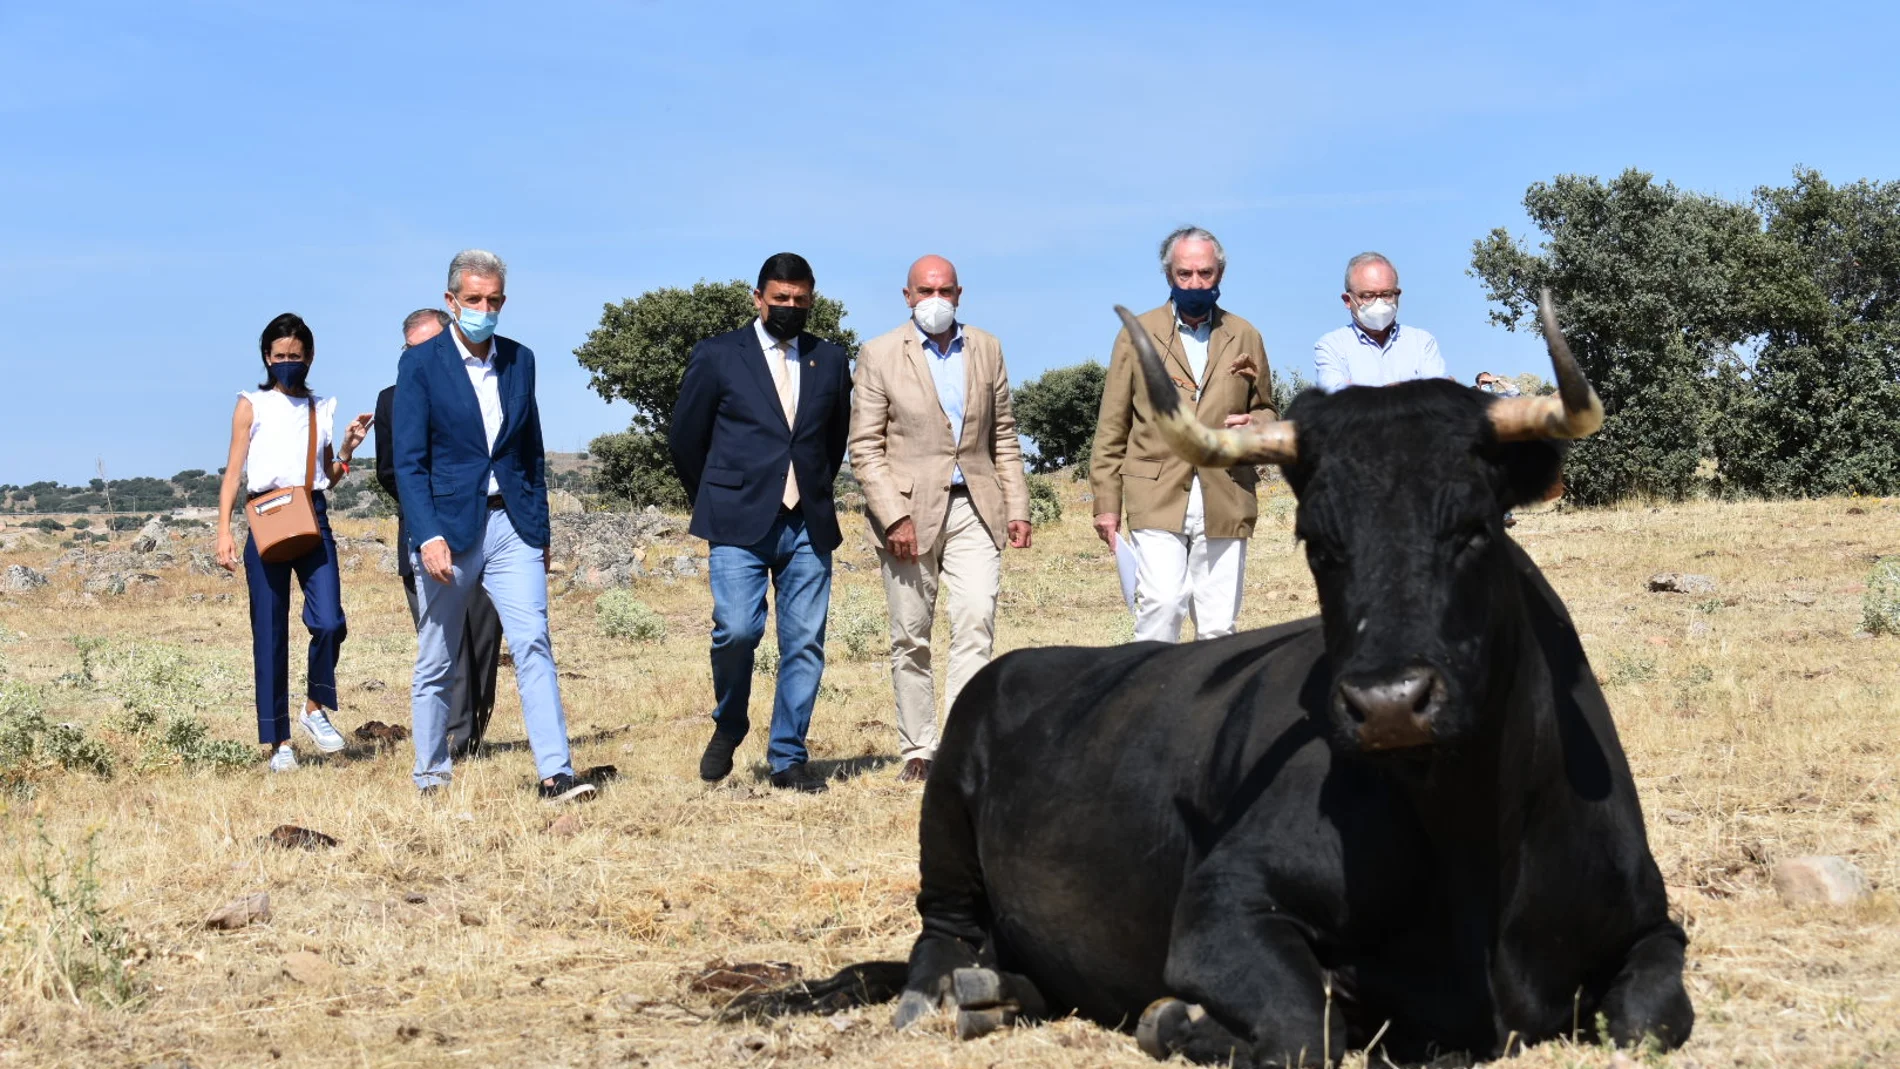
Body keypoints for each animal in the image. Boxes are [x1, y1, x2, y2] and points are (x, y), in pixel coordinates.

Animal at [741, 305, 1694, 1063]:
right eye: (1318, 539)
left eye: (1477, 524)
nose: (1390, 704)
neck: (1470, 841)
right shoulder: (1221, 908)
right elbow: (1309, 1029)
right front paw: (1177, 1018)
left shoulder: (1652, 923)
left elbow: (1649, 1017)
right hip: (944, 823)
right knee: (937, 940)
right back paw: (958, 995)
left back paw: (1006, 992)